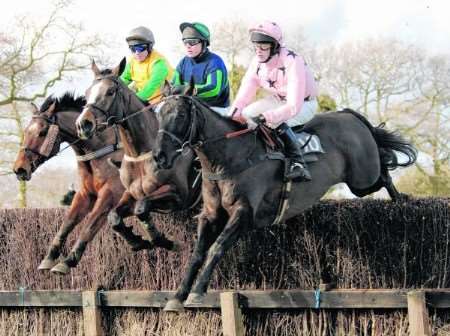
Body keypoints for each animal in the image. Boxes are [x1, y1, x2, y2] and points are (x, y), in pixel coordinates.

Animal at [14, 93, 169, 274]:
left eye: (42, 132)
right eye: (26, 131)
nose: (19, 169)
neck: (102, 149)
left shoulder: (111, 194)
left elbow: (90, 225)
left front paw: (68, 261)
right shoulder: (85, 194)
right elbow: (67, 223)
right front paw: (49, 257)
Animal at [74, 59, 200, 252]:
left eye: (110, 91)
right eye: (87, 93)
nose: (83, 124)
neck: (140, 153)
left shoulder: (178, 194)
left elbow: (142, 207)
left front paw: (162, 240)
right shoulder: (130, 194)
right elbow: (114, 216)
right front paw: (137, 241)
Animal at [153, 88, 416, 312]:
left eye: (180, 115)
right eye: (158, 114)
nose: (159, 156)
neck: (228, 158)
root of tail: (348, 114)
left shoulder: (244, 213)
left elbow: (216, 248)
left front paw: (197, 292)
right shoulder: (210, 214)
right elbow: (197, 253)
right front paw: (177, 297)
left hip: (363, 178)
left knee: (384, 167)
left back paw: (401, 199)